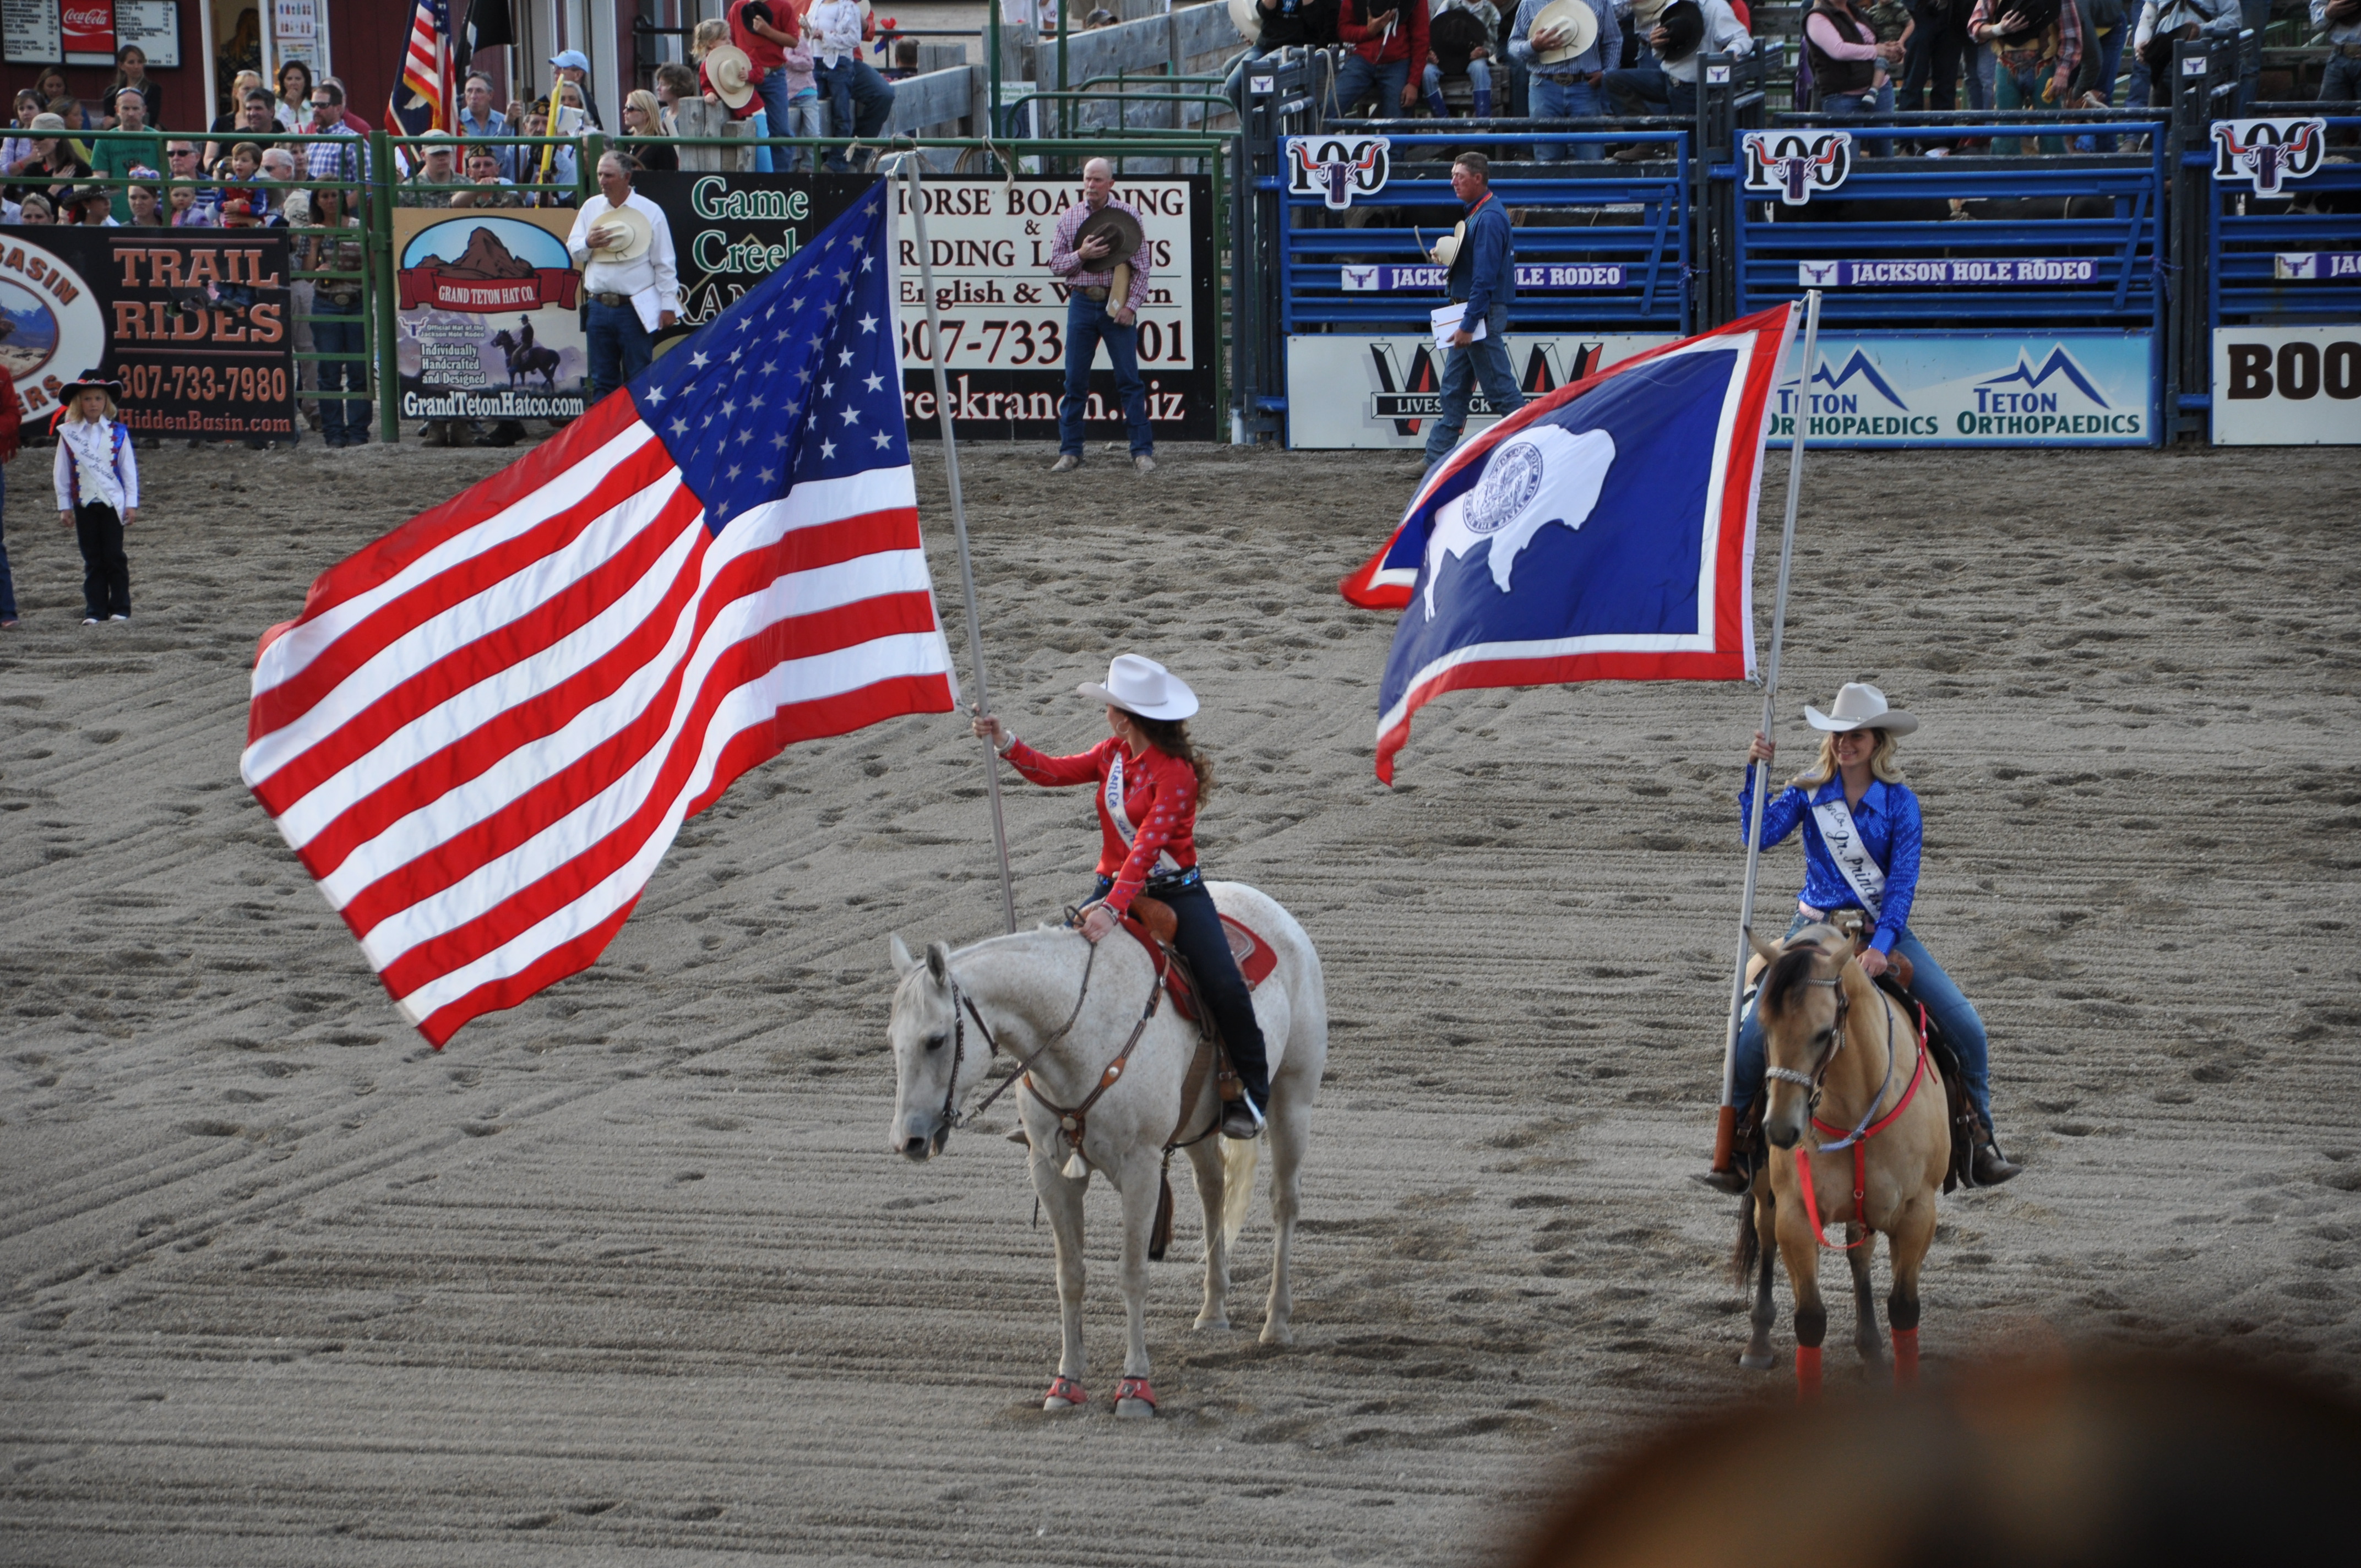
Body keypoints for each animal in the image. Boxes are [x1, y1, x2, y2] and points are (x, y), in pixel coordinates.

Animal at [490, 328, 561, 392]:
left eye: (499, 336)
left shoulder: (511, 373)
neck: (511, 352)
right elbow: (523, 383)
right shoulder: (522, 372)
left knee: (550, 380)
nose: (492, 343)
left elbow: (511, 386)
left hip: (543, 368)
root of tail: (549, 351)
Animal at [887, 881, 1326, 1417]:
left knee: (1285, 1202)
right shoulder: (1050, 1170)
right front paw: (1065, 1383)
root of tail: (1274, 909)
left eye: (935, 1040)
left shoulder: (1140, 1169)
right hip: (1201, 1127)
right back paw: (1212, 1310)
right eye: (892, 1039)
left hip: (1293, 1100)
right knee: (1212, 1191)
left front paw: (1135, 1386)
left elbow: (1133, 1272)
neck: (1079, 1029)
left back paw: (1276, 1323)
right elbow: (1070, 1275)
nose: (907, 1140)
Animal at [1732, 923, 1950, 1399]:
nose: (1781, 1130)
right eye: (1763, 1027)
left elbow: (1904, 1308)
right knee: (1764, 1234)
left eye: (1821, 1032)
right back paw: (1758, 1343)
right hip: (1765, 1189)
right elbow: (1810, 1320)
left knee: (1860, 1252)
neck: (1857, 1106)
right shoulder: (1796, 1214)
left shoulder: (1917, 1213)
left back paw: (1872, 1352)